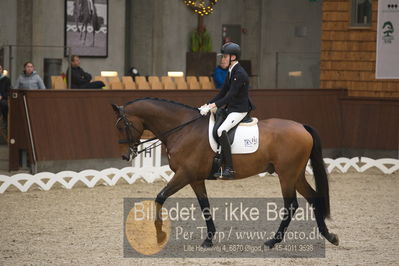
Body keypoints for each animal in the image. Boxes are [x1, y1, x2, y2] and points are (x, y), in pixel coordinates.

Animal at [112, 98, 340, 249]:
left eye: (123, 126)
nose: (124, 156)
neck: (182, 129)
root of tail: (302, 126)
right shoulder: (195, 178)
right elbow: (204, 205)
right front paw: (209, 238)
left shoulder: (184, 175)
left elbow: (160, 197)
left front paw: (159, 234)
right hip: (295, 174)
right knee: (314, 198)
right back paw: (329, 236)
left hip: (287, 175)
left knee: (291, 205)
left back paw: (272, 241)